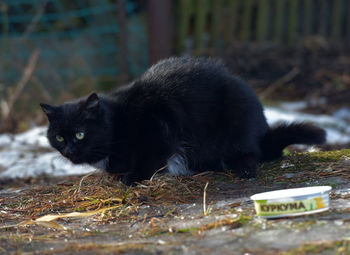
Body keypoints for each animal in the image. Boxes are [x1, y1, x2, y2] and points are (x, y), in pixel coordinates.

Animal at [39, 57, 326, 184]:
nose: (70, 150)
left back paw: (241, 168)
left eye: (80, 134)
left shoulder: (158, 127)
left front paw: (132, 177)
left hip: (237, 124)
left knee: (250, 154)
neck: (117, 124)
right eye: (59, 137)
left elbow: (150, 157)